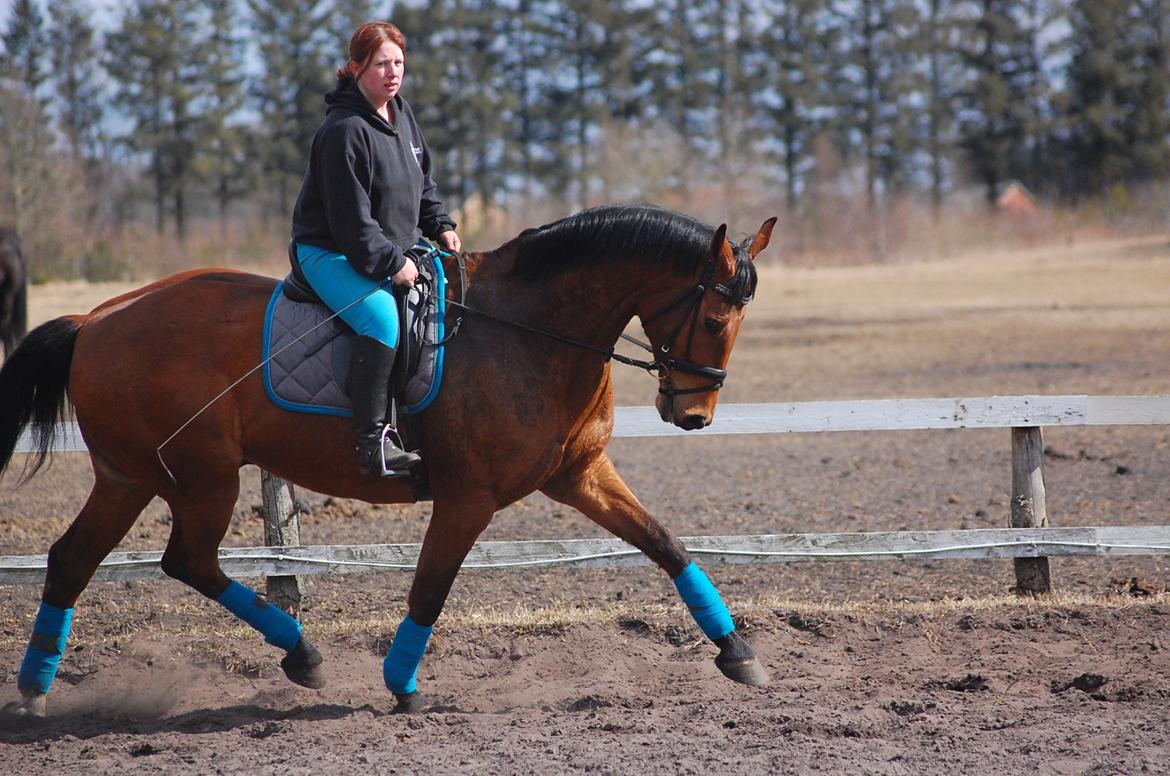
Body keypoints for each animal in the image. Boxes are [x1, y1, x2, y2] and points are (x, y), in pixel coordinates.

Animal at [2, 204, 776, 716]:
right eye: (714, 319)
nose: (694, 416)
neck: (528, 330)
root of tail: (95, 321)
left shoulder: (580, 476)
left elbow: (666, 544)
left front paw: (737, 653)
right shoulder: (469, 498)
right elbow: (429, 590)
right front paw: (403, 687)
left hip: (130, 478)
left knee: (73, 561)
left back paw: (36, 693)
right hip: (203, 479)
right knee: (187, 562)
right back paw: (303, 656)